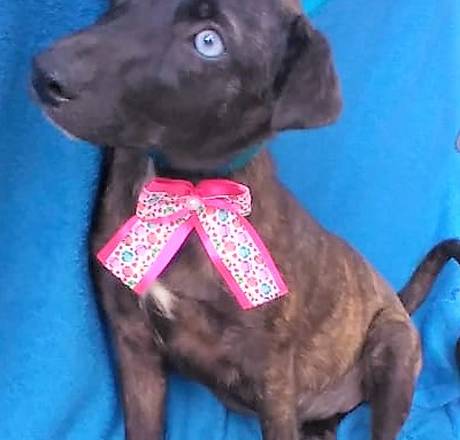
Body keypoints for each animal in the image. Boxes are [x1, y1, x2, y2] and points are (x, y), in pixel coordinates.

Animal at [31, 0, 460, 439]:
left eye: (209, 42)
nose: (46, 74)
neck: (185, 194)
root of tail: (398, 302)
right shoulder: (134, 343)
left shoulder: (273, 375)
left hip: (393, 346)